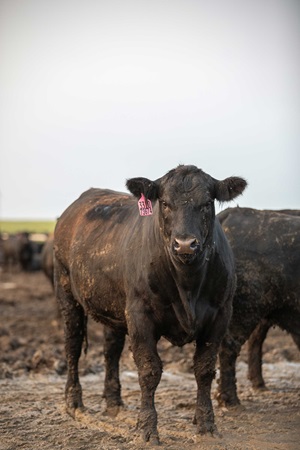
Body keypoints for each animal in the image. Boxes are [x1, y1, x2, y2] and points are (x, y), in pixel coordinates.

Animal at [53, 165, 246, 442]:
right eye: (164, 203)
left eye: (207, 203)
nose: (185, 244)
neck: (188, 286)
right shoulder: (140, 316)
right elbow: (149, 370)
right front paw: (146, 428)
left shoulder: (219, 316)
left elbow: (205, 369)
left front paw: (206, 424)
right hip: (67, 293)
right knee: (73, 346)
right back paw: (73, 402)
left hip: (114, 306)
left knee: (111, 351)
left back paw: (114, 404)